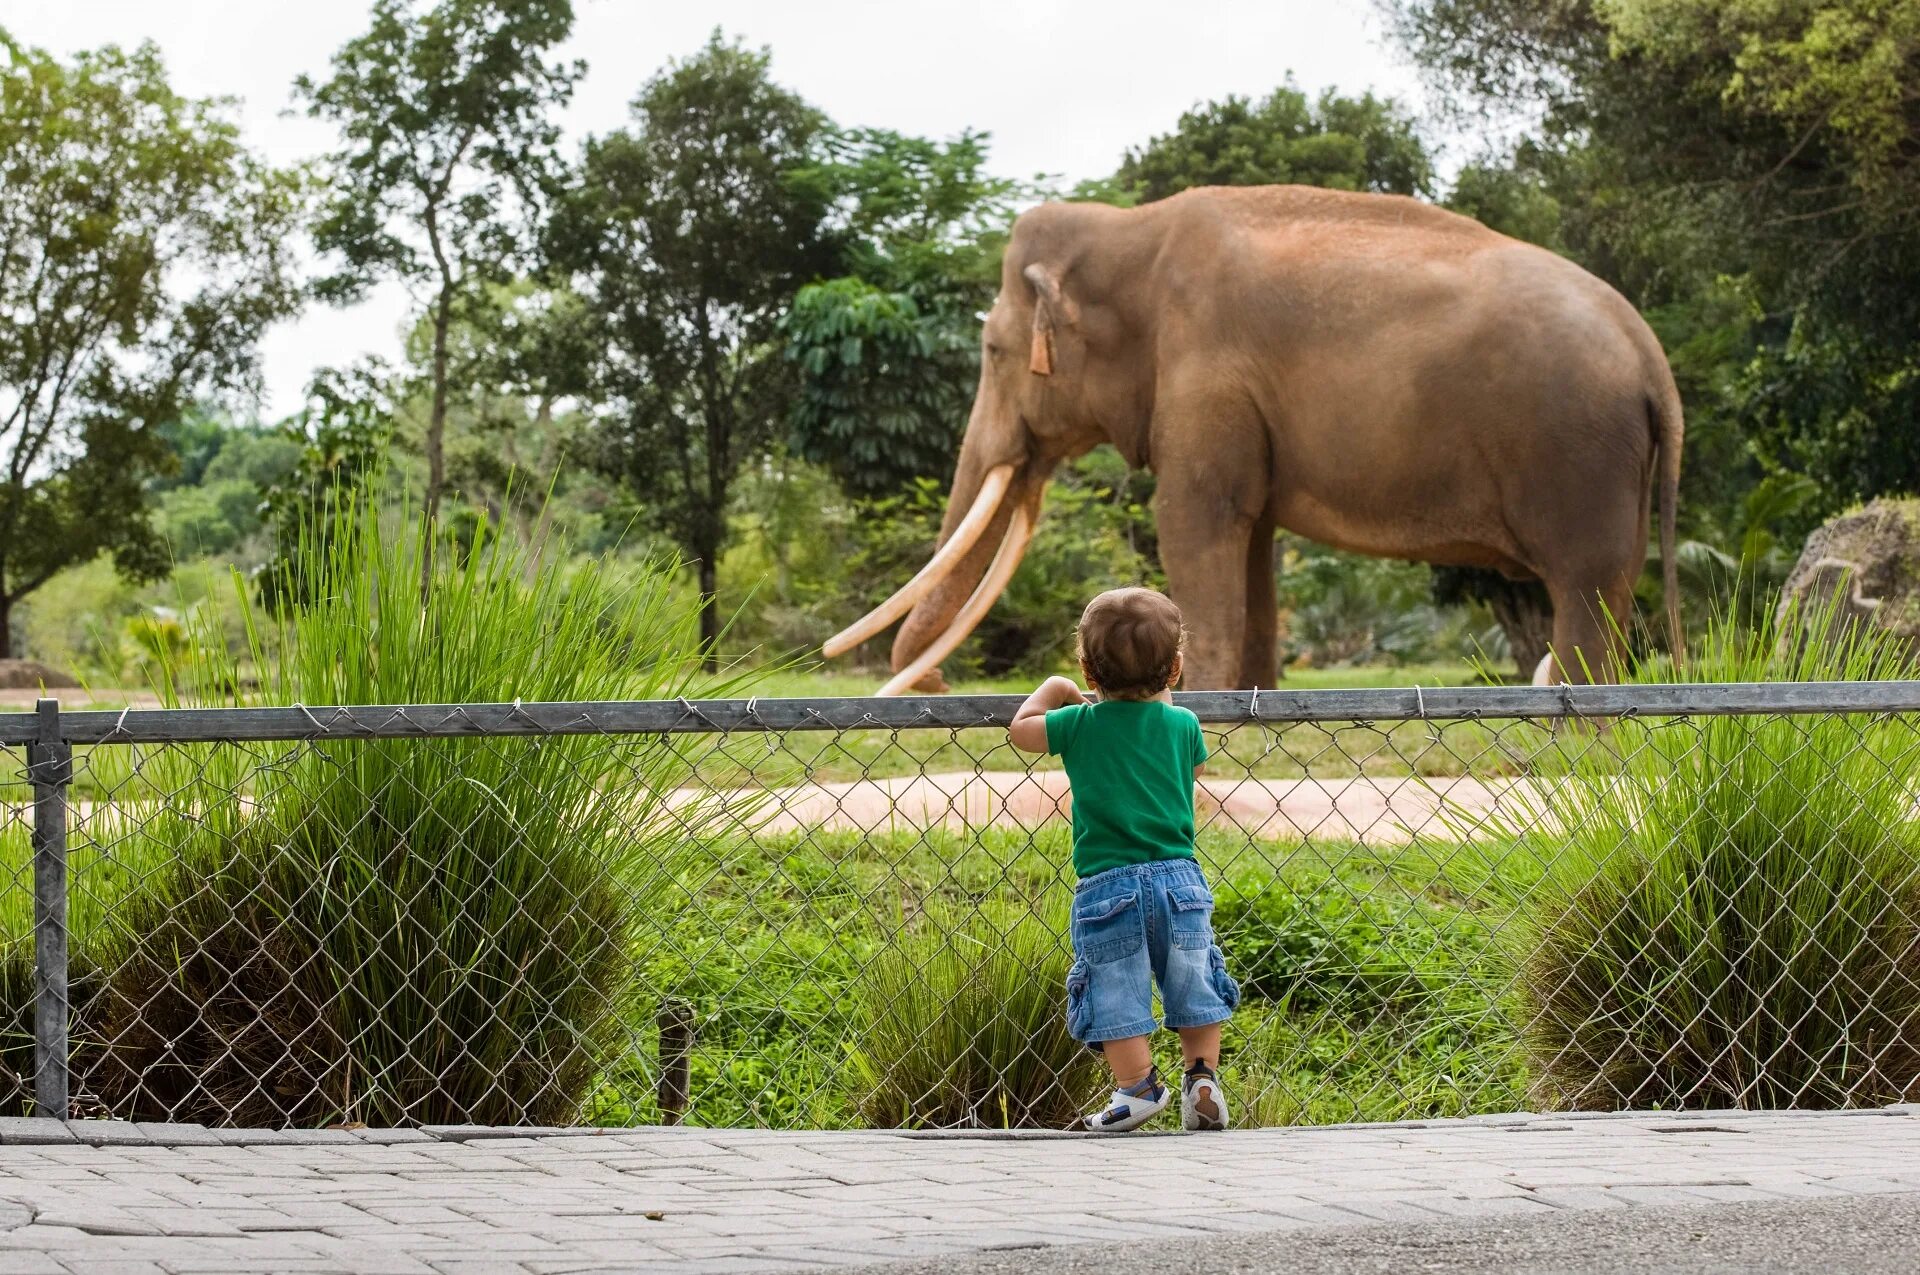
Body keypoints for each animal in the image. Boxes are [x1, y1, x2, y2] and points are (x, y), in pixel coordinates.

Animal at [825, 184, 1681, 691]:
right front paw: (1254, 702)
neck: (1130, 230)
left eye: (993, 351)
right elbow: (1254, 543)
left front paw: (1197, 703)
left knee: (1584, 584)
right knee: (1611, 585)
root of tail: (1654, 362)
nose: (935, 686)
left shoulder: (1205, 374)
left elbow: (1193, 524)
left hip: (1577, 455)